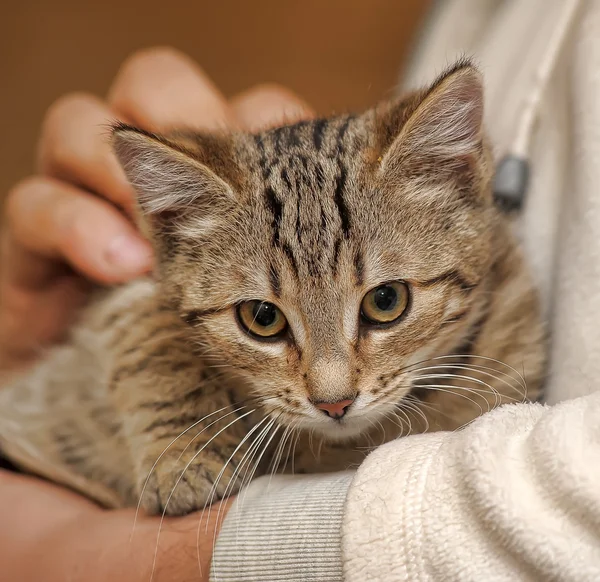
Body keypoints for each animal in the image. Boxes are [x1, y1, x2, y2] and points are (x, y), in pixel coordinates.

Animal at [0, 61, 544, 516]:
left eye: (386, 301)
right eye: (262, 318)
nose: (334, 404)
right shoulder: (130, 272)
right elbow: (146, 326)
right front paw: (186, 454)